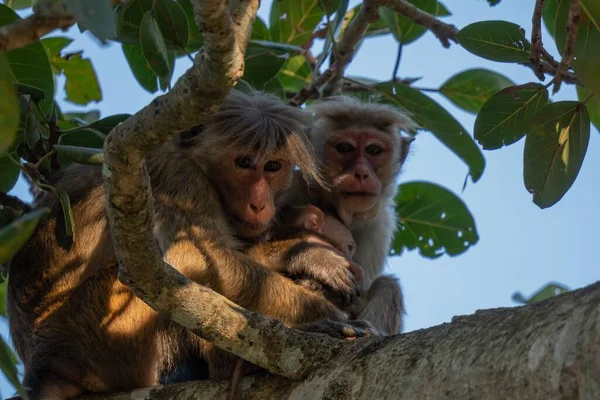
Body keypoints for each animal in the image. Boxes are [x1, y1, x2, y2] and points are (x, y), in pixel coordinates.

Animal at [7, 90, 376, 400]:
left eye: (273, 166)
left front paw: (303, 255)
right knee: (150, 277)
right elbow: (189, 259)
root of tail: (45, 368)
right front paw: (324, 309)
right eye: (244, 163)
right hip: (100, 338)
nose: (259, 204)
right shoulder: (177, 177)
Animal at [280, 95, 418, 336]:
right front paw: (316, 259)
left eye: (374, 150)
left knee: (388, 286)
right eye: (345, 148)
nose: (361, 173)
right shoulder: (288, 188)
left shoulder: (379, 227)